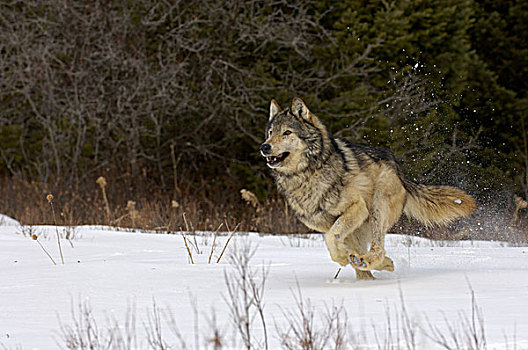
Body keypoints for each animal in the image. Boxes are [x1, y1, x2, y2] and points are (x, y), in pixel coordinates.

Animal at [262, 97, 476, 280]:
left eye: (287, 133)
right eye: (271, 133)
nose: (264, 147)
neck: (305, 175)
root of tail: (400, 171)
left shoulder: (357, 208)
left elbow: (331, 237)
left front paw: (342, 257)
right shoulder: (325, 223)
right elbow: (334, 239)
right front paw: (346, 257)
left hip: (377, 209)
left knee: (377, 249)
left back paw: (369, 262)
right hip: (360, 226)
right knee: (367, 255)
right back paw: (374, 266)